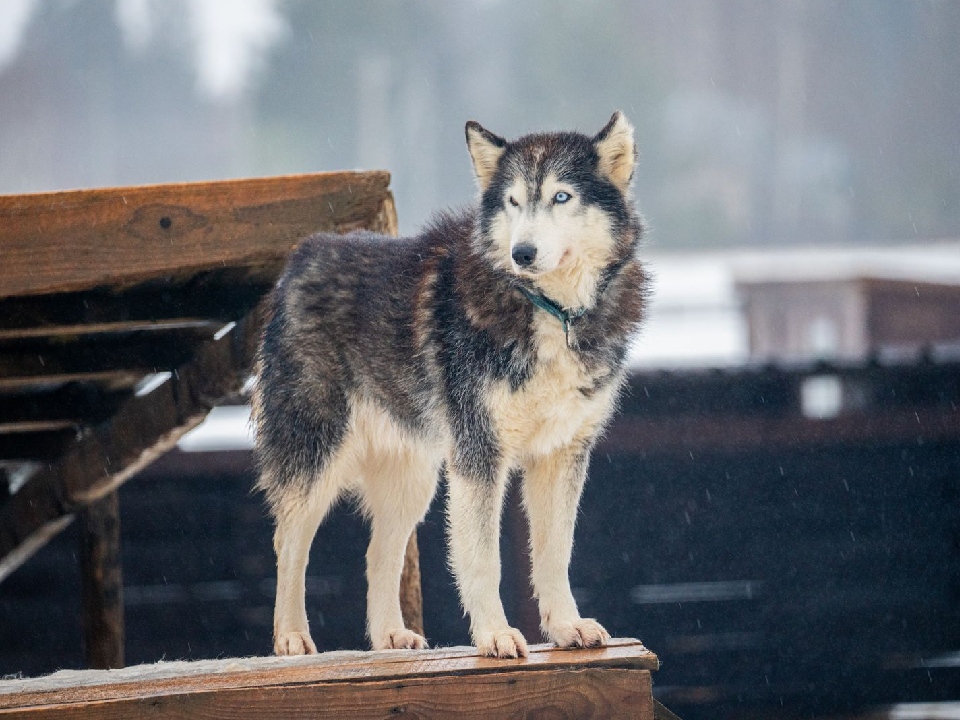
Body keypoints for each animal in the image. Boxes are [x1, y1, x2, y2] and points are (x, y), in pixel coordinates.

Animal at [253, 111, 644, 660]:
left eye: (562, 197)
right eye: (513, 202)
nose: (522, 253)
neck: (550, 310)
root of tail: (302, 255)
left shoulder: (562, 454)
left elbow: (554, 554)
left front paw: (568, 627)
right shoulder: (479, 455)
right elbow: (484, 559)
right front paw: (495, 635)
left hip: (413, 481)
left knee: (379, 554)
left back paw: (390, 636)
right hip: (317, 456)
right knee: (290, 544)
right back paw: (291, 636)